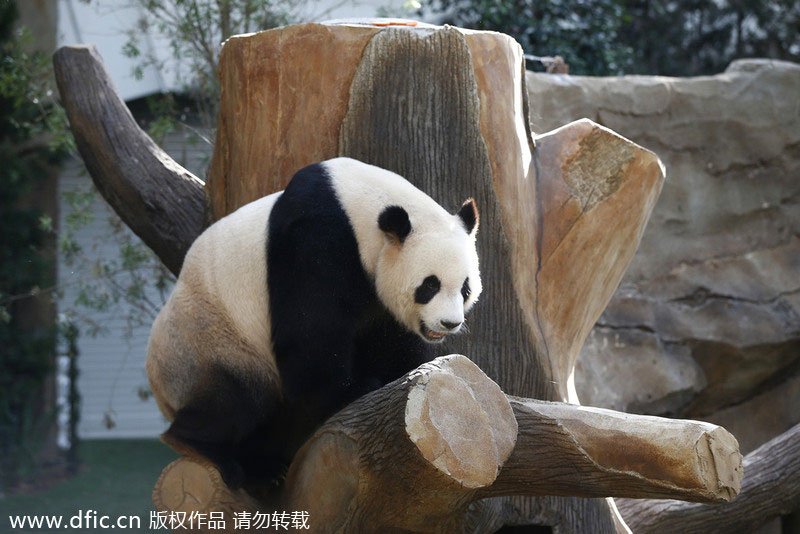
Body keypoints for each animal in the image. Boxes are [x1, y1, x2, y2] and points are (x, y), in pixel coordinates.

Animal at [146, 157, 482, 489]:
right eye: (430, 285)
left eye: (465, 288)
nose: (449, 322)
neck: (361, 206)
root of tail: (159, 386)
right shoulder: (315, 239)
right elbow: (311, 333)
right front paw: (351, 391)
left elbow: (388, 337)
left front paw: (403, 373)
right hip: (212, 340)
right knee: (236, 399)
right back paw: (201, 446)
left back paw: (264, 468)